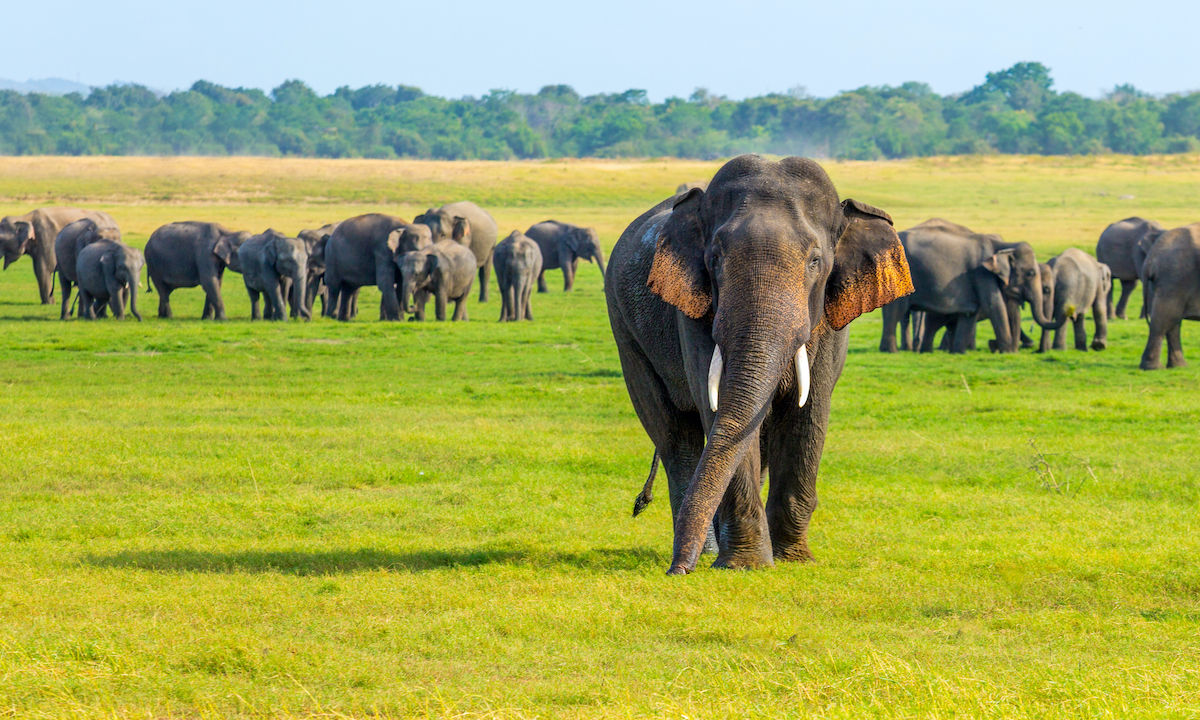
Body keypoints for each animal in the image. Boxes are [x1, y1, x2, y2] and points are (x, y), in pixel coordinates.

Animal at [604, 153, 912, 573]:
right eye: (714, 259)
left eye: (815, 261)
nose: (675, 571)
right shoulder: (694, 312)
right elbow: (718, 409)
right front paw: (746, 565)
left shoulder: (829, 323)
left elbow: (809, 415)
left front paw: (794, 559)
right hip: (626, 333)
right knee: (674, 435)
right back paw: (707, 552)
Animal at [878, 219, 1056, 355]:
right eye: (1031, 273)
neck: (1002, 244)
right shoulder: (982, 273)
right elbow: (994, 305)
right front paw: (1008, 353)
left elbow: (970, 313)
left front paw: (959, 353)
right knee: (896, 312)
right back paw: (891, 351)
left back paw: (922, 351)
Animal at [1132, 223, 1200, 372]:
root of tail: (1152, 256)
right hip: (1175, 278)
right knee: (1164, 320)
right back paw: (1153, 368)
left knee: (1172, 322)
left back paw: (1178, 366)